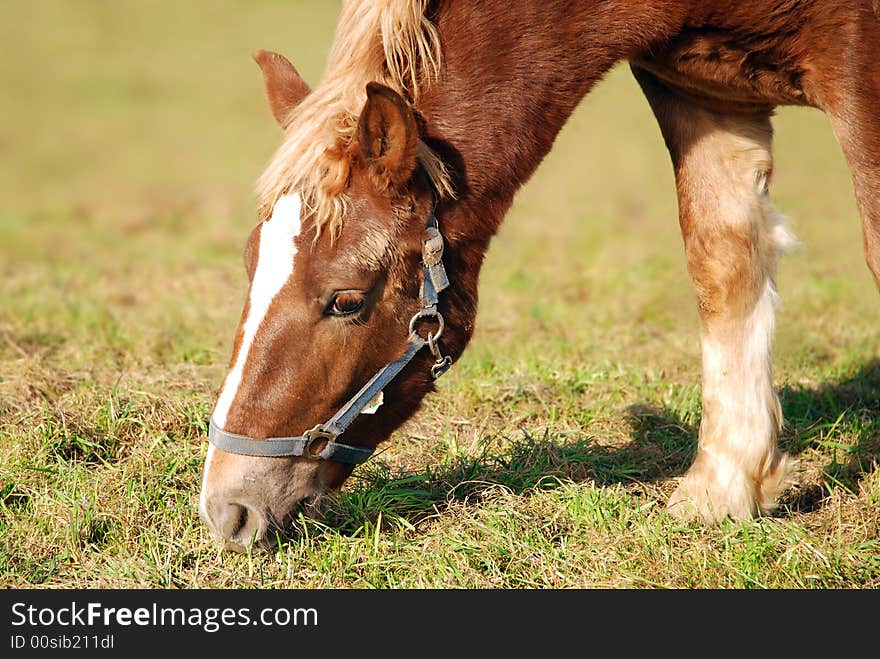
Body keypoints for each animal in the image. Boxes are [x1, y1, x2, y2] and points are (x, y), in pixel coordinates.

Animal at [198, 0, 880, 552]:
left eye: (344, 300)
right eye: (249, 263)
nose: (226, 510)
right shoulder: (701, 96)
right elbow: (722, 262)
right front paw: (725, 487)